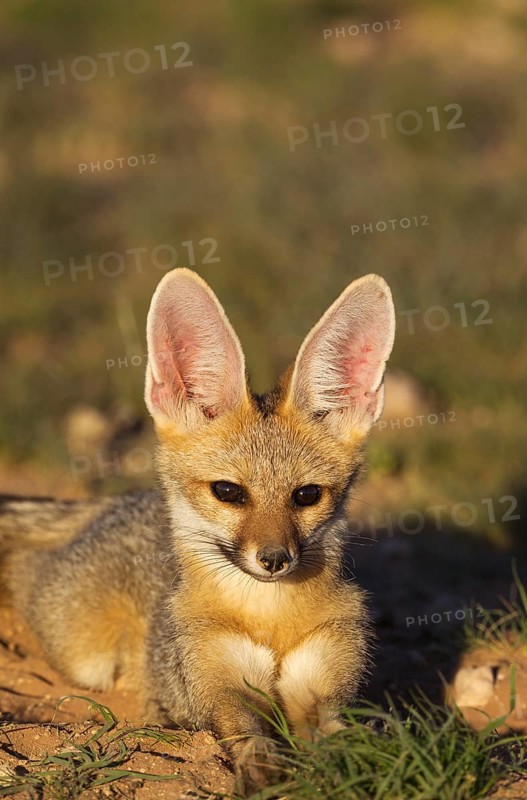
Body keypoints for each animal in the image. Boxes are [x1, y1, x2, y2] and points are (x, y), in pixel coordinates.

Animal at [0, 268, 395, 791]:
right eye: (228, 492)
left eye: (307, 495)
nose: (275, 559)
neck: (270, 620)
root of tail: (119, 501)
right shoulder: (219, 685)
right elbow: (246, 732)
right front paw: (262, 770)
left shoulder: (323, 680)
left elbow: (336, 737)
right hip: (86, 656)